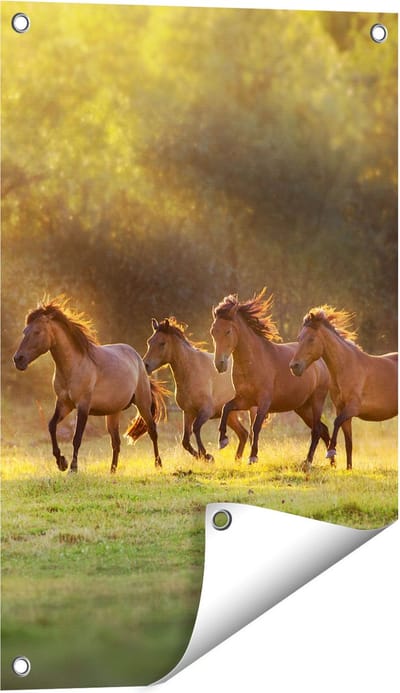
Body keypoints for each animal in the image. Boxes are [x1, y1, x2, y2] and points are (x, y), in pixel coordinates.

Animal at [13, 297, 167, 473]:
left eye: (37, 331)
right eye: (25, 331)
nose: (18, 359)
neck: (74, 366)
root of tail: (139, 360)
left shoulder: (83, 406)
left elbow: (77, 438)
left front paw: (72, 468)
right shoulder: (64, 404)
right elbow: (51, 426)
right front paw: (61, 462)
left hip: (143, 404)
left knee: (152, 431)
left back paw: (158, 465)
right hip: (113, 412)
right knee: (116, 442)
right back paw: (112, 471)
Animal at [139, 317, 255, 461]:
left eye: (162, 343)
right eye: (149, 342)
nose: (145, 365)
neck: (192, 371)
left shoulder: (206, 411)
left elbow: (195, 428)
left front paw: (207, 455)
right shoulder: (188, 413)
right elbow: (185, 441)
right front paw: (204, 456)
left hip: (252, 410)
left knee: (252, 433)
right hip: (230, 415)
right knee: (243, 434)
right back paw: (237, 460)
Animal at [210, 289, 331, 470]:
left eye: (228, 331)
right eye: (213, 331)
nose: (220, 364)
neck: (252, 363)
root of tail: (321, 362)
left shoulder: (264, 401)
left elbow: (256, 427)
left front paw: (253, 457)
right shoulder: (245, 400)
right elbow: (226, 408)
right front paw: (222, 440)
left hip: (317, 401)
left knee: (316, 430)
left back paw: (309, 461)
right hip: (303, 408)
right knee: (323, 429)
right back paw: (332, 460)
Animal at [289, 306, 398, 469]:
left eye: (311, 339)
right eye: (299, 338)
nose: (294, 366)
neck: (346, 367)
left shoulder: (352, 408)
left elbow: (336, 422)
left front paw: (331, 451)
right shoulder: (342, 409)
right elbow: (348, 442)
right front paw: (348, 468)